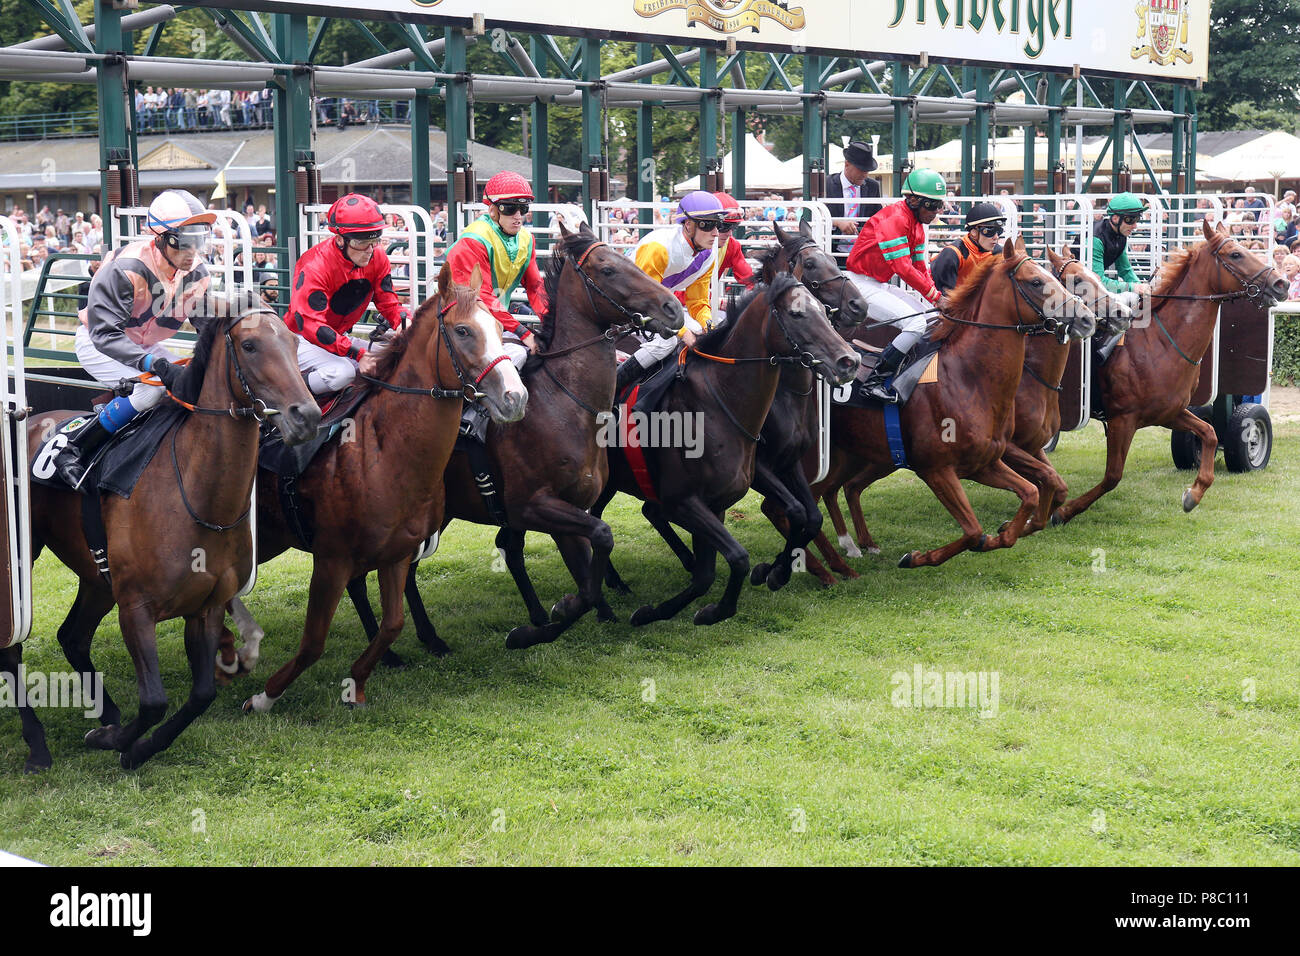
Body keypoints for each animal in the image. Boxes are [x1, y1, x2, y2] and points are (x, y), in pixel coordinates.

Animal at [5, 295, 319, 775]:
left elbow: (201, 695)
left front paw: (133, 745)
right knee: (13, 649)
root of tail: (35, 420)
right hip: (24, 556)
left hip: (97, 576)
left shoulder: (206, 607)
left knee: (72, 636)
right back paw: (39, 745)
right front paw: (116, 741)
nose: (307, 416)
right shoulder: (136, 608)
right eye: (249, 345)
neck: (194, 491)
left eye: (295, 342)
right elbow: (154, 700)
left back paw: (108, 712)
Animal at [239, 265, 527, 712]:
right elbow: (313, 641)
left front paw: (357, 683)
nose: (516, 397)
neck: (381, 449)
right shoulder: (331, 558)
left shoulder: (397, 552)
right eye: (463, 331)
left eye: (500, 326)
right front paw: (265, 697)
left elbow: (393, 623)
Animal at [806, 235, 1092, 572]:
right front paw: (916, 557)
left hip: (860, 454)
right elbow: (973, 531)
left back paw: (854, 546)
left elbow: (1033, 491)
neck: (967, 378)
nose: (1086, 318)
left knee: (837, 490)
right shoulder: (937, 470)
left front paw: (1007, 530)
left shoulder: (985, 462)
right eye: (1036, 281)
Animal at [1055, 217, 1289, 528]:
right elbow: (1112, 476)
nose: (1282, 283)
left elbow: (1210, 434)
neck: (1160, 344)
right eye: (1236, 254)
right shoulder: (1122, 420)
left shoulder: (1170, 412)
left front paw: (1193, 494)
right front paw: (1063, 510)